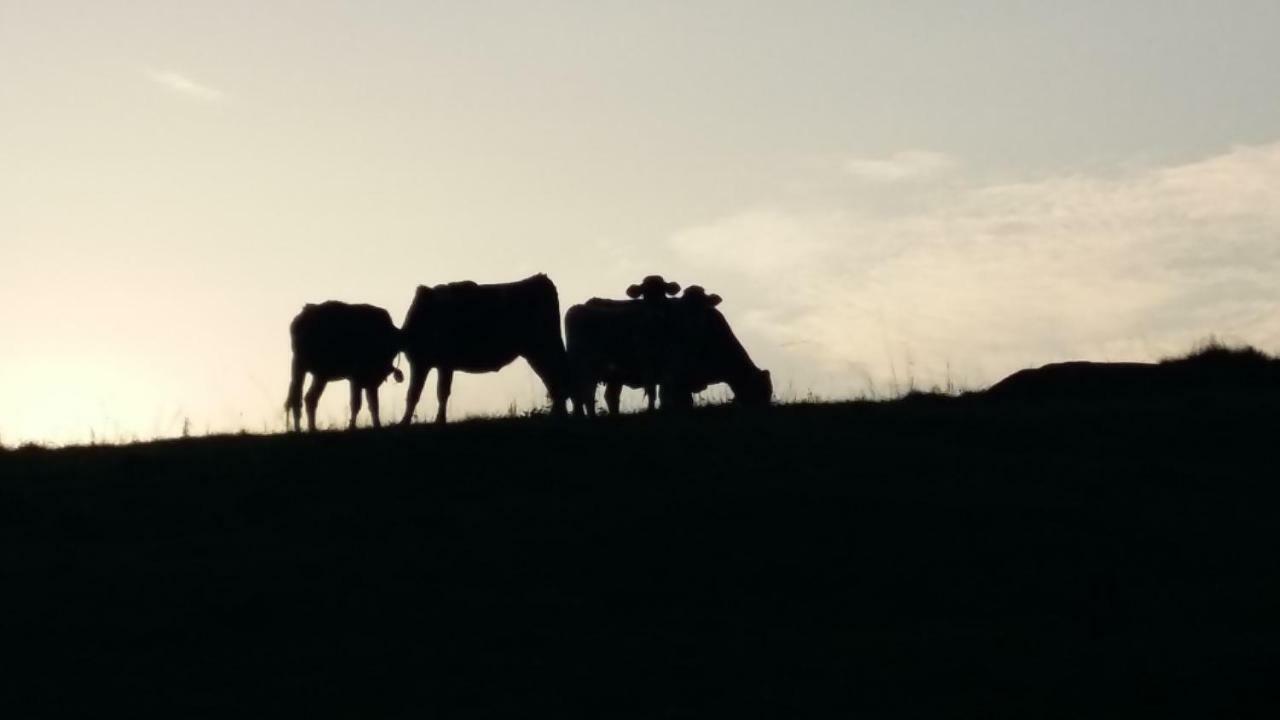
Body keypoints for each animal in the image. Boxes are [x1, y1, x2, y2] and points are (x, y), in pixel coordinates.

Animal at [286, 299, 401, 427]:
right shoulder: (357, 378)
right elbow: (356, 404)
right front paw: (352, 426)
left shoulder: (372, 381)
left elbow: (374, 405)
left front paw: (377, 425)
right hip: (310, 369)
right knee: (301, 399)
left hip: (311, 372)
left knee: (304, 398)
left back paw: (308, 427)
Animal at [394, 272, 565, 420]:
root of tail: (540, 278)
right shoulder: (430, 364)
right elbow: (420, 394)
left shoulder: (434, 363)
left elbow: (433, 393)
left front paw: (428, 421)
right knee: (553, 379)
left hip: (542, 347)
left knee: (556, 377)